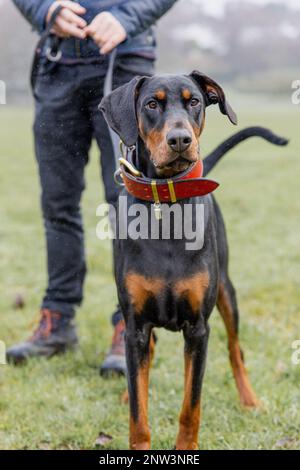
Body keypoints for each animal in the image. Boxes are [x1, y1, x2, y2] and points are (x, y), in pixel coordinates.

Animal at [101, 71, 288, 450]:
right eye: (151, 104)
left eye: (195, 102)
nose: (180, 139)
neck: (167, 207)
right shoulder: (136, 324)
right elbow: (138, 413)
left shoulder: (198, 329)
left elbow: (192, 405)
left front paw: (185, 446)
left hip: (227, 293)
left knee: (235, 349)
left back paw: (250, 399)